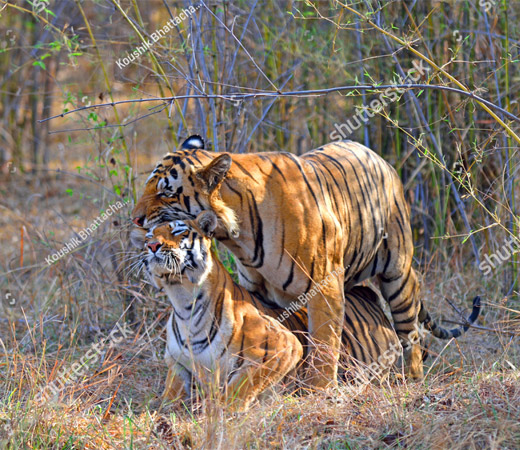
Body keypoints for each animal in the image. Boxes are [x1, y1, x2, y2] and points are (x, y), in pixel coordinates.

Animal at [133, 134, 476, 386]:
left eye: (166, 193)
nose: (135, 219)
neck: (237, 233)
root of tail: (380, 159)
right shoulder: (255, 288)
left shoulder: (324, 285)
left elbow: (325, 343)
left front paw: (320, 390)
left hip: (397, 273)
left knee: (410, 333)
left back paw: (413, 379)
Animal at [133, 211, 406, 412]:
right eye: (150, 235)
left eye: (178, 231)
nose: (151, 245)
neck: (184, 301)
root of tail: (365, 294)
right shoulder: (178, 366)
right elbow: (167, 399)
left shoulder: (283, 346)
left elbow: (240, 385)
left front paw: (222, 410)